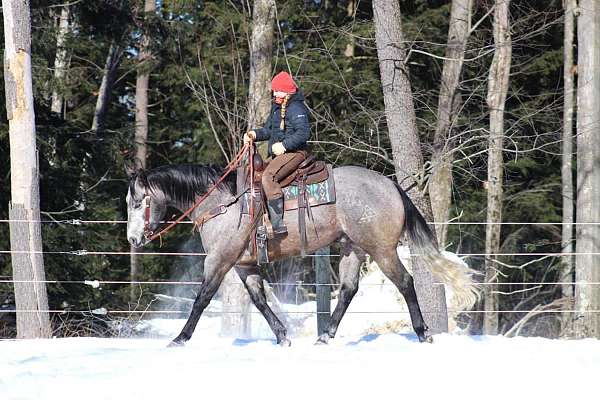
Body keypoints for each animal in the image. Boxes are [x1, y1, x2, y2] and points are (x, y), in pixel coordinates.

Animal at [126, 163, 478, 346]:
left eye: (137, 202)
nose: (132, 239)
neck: (223, 205)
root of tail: (391, 186)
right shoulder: (244, 266)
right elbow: (259, 300)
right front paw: (282, 335)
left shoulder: (219, 262)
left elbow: (201, 299)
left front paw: (180, 338)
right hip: (353, 249)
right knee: (348, 289)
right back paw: (325, 335)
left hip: (382, 250)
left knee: (405, 282)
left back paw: (423, 333)